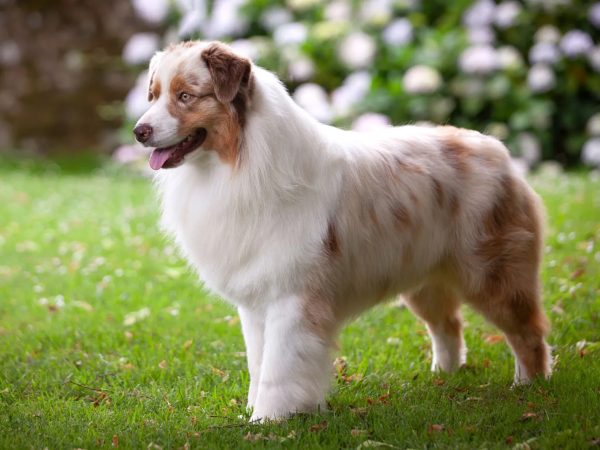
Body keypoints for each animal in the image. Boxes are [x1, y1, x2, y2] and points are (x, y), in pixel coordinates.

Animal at [134, 40, 552, 420]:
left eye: (185, 96)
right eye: (153, 96)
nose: (139, 131)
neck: (238, 163)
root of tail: (498, 150)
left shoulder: (291, 298)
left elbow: (278, 369)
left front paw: (267, 420)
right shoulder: (255, 301)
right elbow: (258, 362)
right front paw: (258, 411)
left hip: (491, 273)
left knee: (527, 330)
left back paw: (529, 386)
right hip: (424, 278)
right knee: (448, 324)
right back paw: (444, 378)